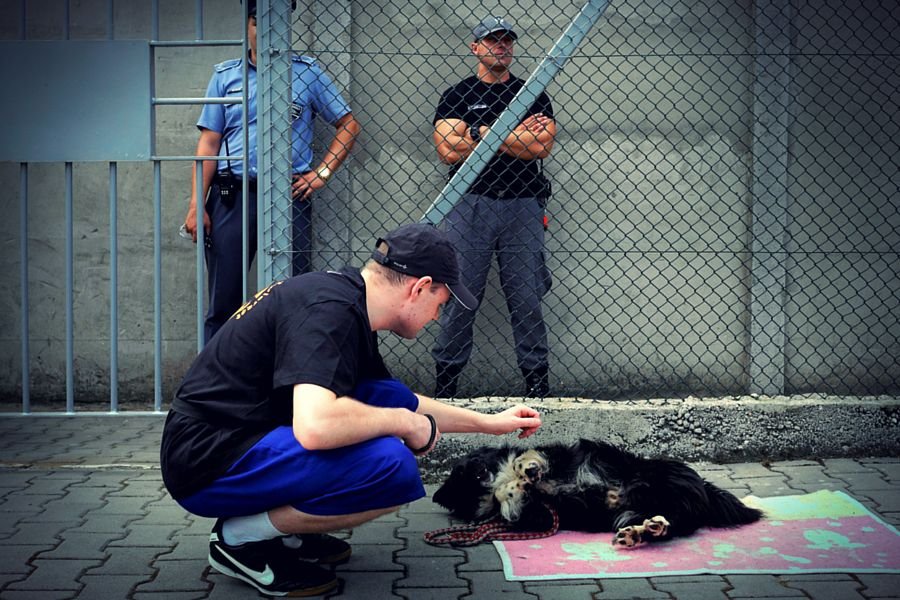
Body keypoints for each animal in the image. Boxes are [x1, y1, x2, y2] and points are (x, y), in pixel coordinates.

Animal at [432, 438, 764, 548]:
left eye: (475, 461)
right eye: (462, 476)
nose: (479, 471)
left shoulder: (556, 458)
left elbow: (527, 459)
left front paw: (527, 469)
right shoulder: (537, 515)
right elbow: (506, 499)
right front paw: (512, 489)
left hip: (653, 476)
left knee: (669, 517)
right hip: (639, 511)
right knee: (663, 524)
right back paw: (639, 533)